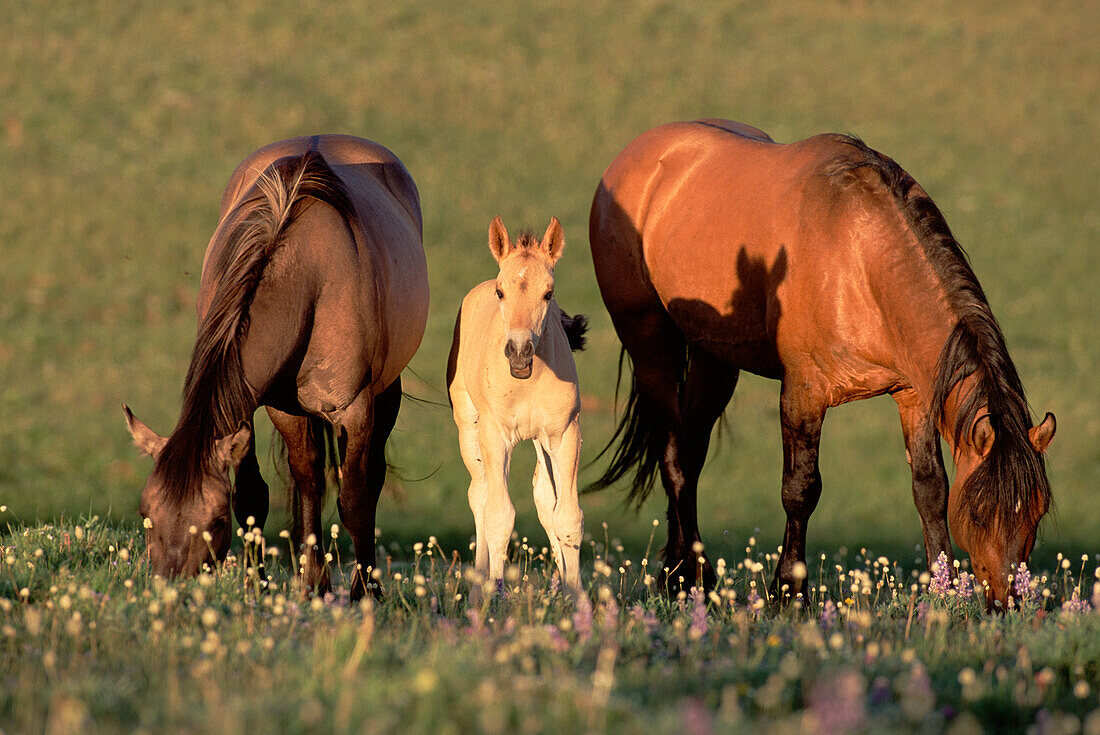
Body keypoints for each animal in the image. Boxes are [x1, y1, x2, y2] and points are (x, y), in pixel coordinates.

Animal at [122, 134, 426, 598]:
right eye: (145, 515)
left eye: (215, 520)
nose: (171, 591)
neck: (308, 276)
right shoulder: (269, 407)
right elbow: (259, 493)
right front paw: (260, 588)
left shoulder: (355, 409)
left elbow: (355, 499)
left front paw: (365, 595)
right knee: (310, 478)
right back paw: (315, 583)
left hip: (386, 391)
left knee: (368, 479)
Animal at [446, 216, 589, 598]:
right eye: (501, 292)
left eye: (548, 293)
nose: (519, 351)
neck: (527, 381)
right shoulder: (494, 437)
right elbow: (499, 516)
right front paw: (490, 598)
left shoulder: (564, 434)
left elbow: (566, 515)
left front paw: (575, 598)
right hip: (469, 428)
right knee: (479, 495)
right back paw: (479, 586)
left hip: (540, 442)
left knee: (545, 497)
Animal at [594, 117, 1056, 607]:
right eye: (981, 512)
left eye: (1037, 512)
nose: (1010, 600)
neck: (858, 257)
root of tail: (637, 154)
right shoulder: (803, 395)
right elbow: (800, 491)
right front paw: (788, 591)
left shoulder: (912, 395)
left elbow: (930, 488)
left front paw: (942, 590)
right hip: (650, 345)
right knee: (674, 458)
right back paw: (690, 576)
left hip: (713, 359)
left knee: (691, 450)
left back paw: (680, 571)